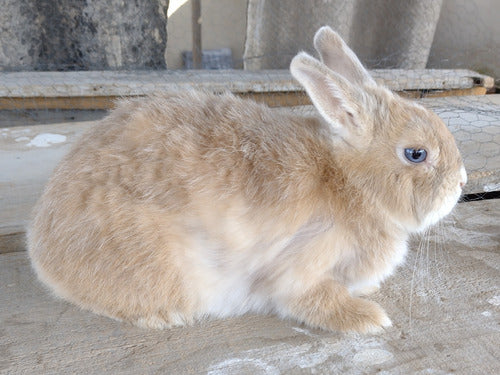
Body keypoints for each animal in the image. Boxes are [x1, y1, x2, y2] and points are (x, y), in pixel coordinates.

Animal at [27, 25, 464, 334]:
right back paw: (164, 317)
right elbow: (314, 299)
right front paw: (368, 317)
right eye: (416, 154)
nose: (460, 182)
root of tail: (42, 246)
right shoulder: (300, 267)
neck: (351, 181)